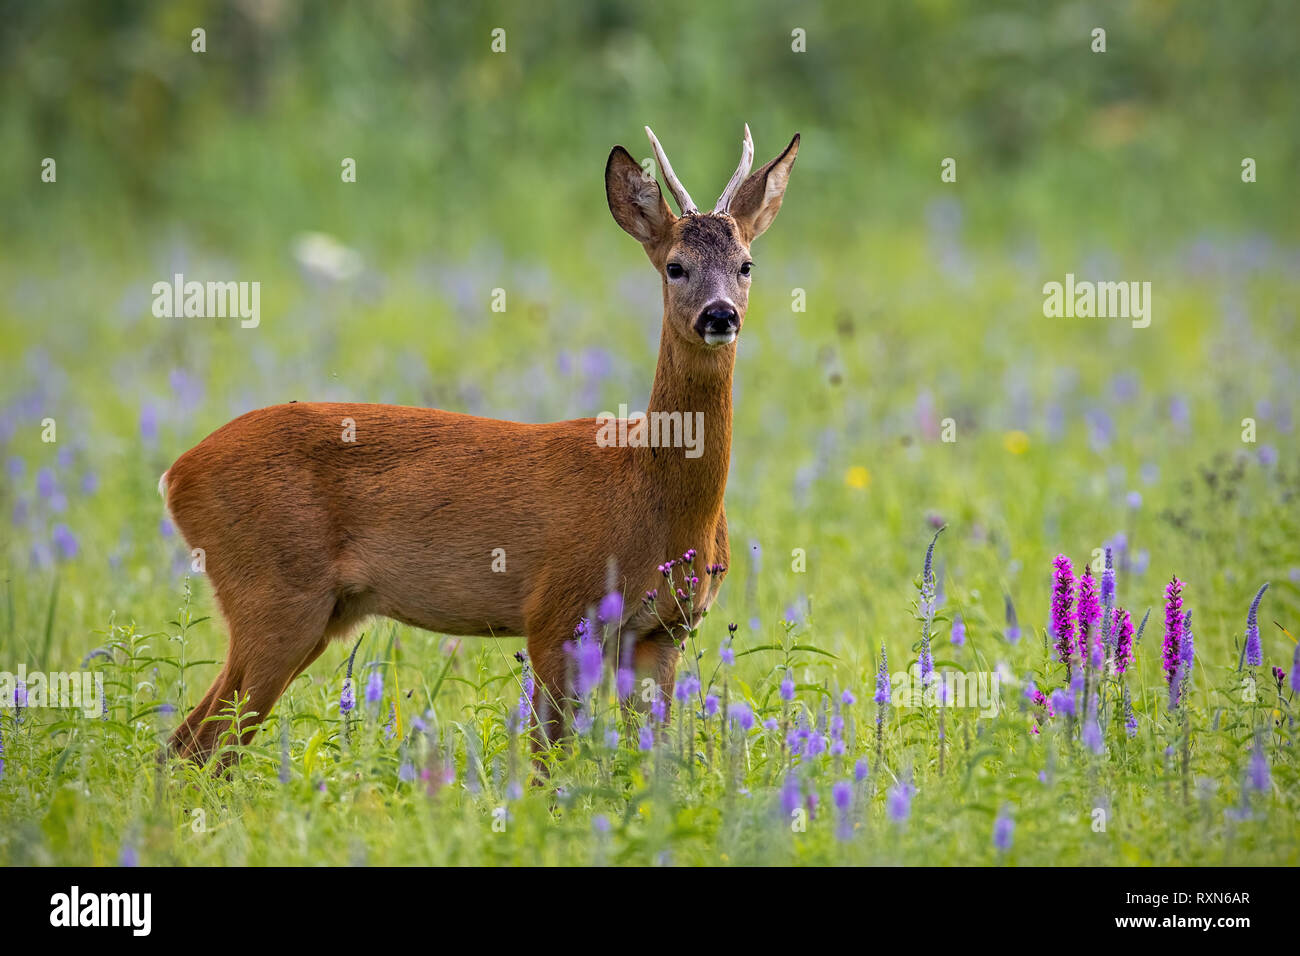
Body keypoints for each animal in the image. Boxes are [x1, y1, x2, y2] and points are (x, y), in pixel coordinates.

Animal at [162, 127, 790, 764]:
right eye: (675, 266)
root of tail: (176, 474)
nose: (720, 315)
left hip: (315, 611)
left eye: (746, 264)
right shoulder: (557, 614)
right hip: (274, 596)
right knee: (195, 746)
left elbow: (654, 760)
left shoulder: (662, 634)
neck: (648, 486)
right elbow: (545, 762)